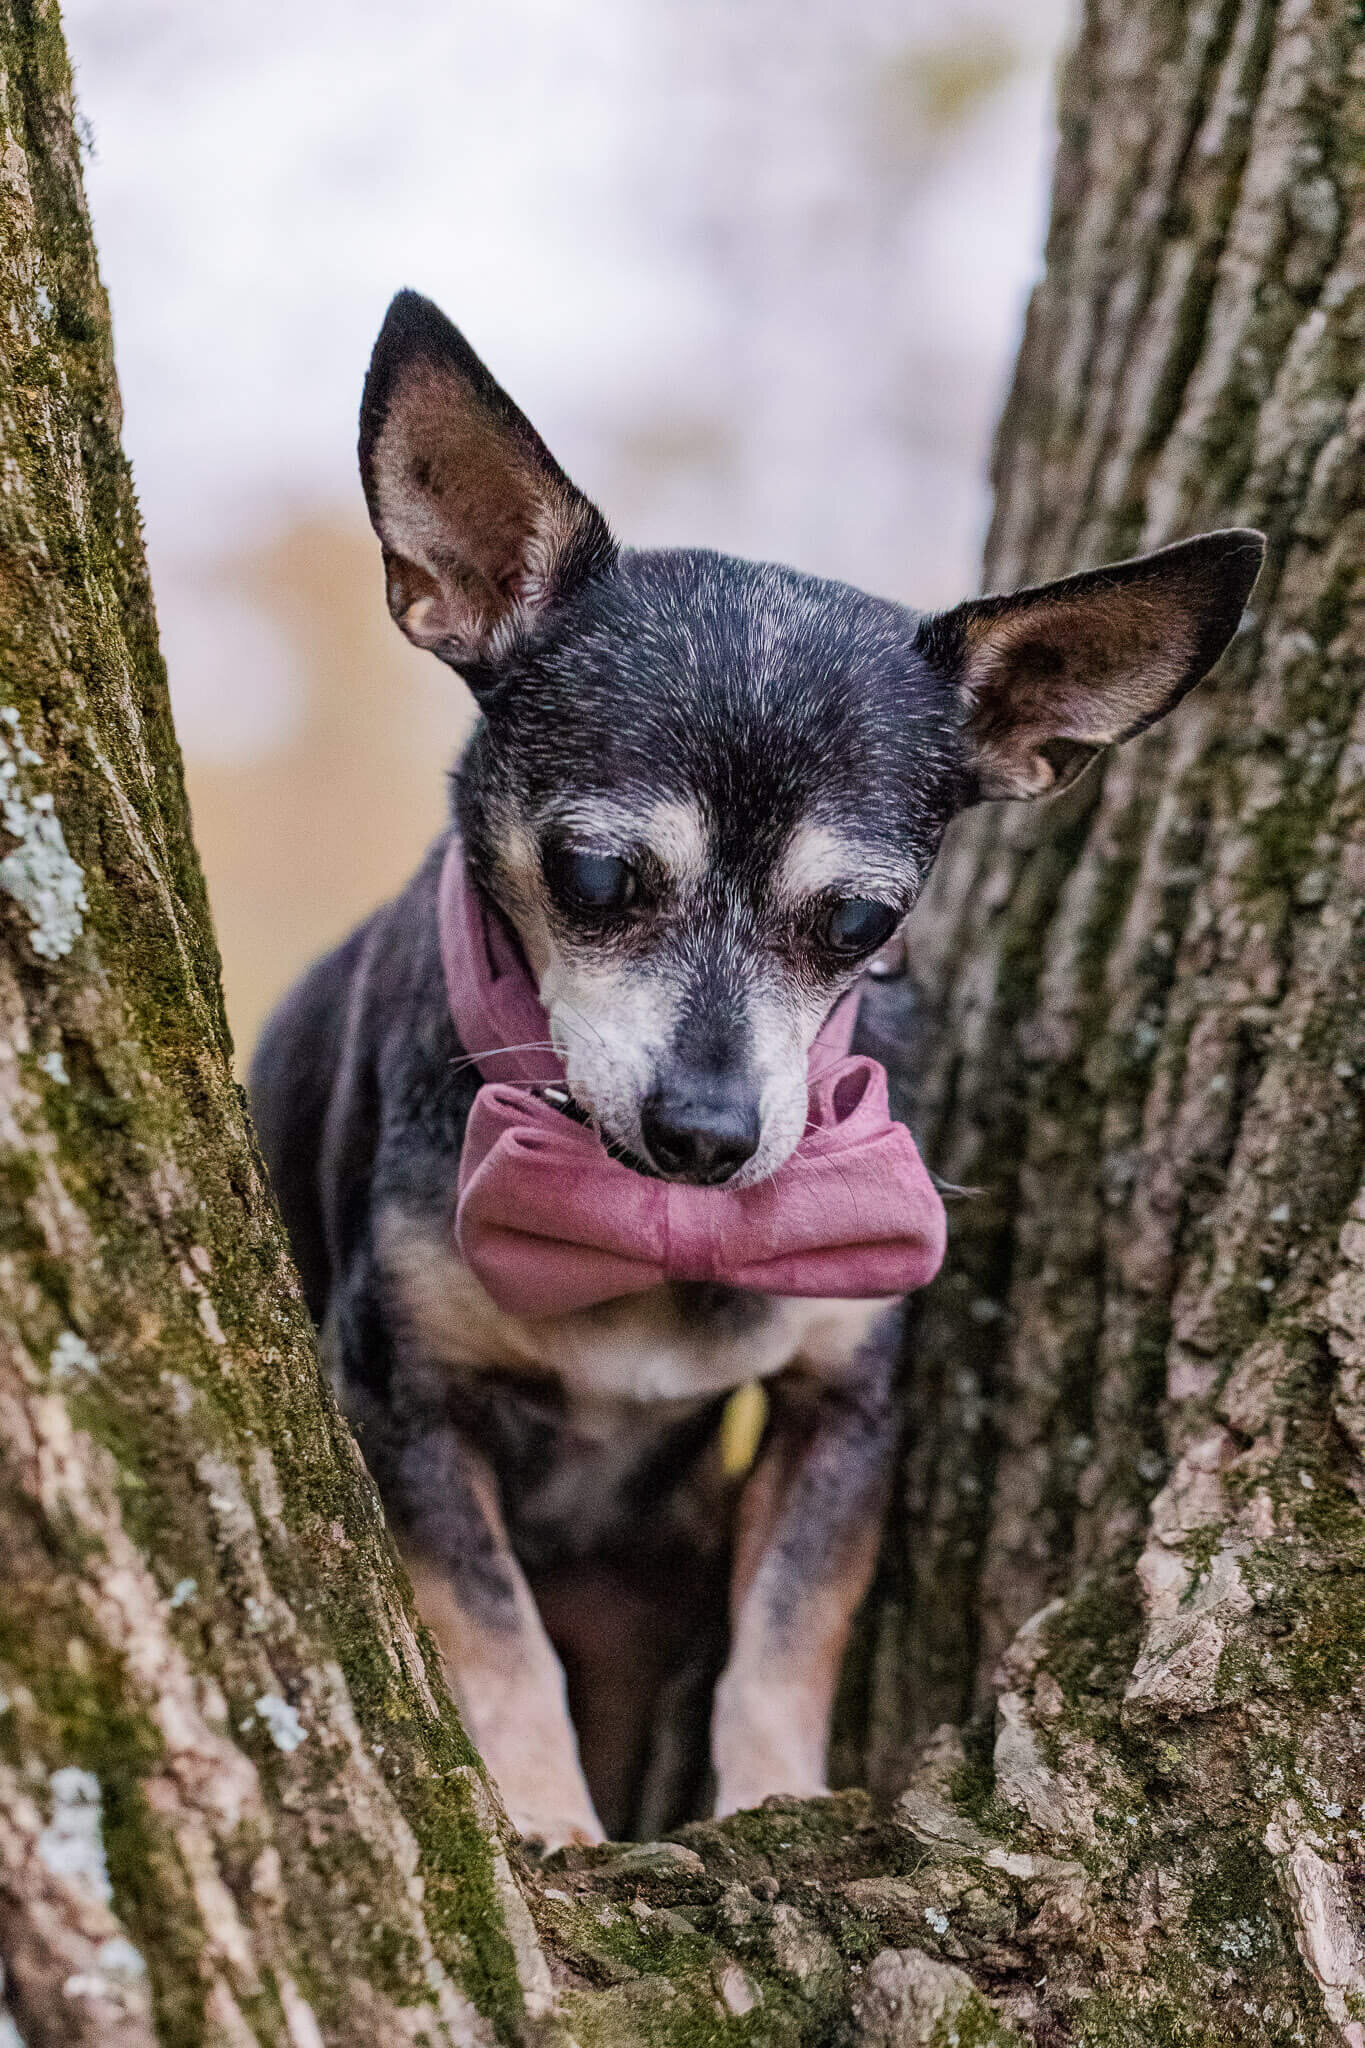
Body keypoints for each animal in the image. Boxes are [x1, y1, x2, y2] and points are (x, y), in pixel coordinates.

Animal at [250, 292, 1268, 1859]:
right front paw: (546, 1821)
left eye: (862, 924)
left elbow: (784, 1642)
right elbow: (495, 1640)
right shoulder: (403, 1407)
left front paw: (774, 1800)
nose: (709, 1134)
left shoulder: (839, 1420)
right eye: (592, 875)